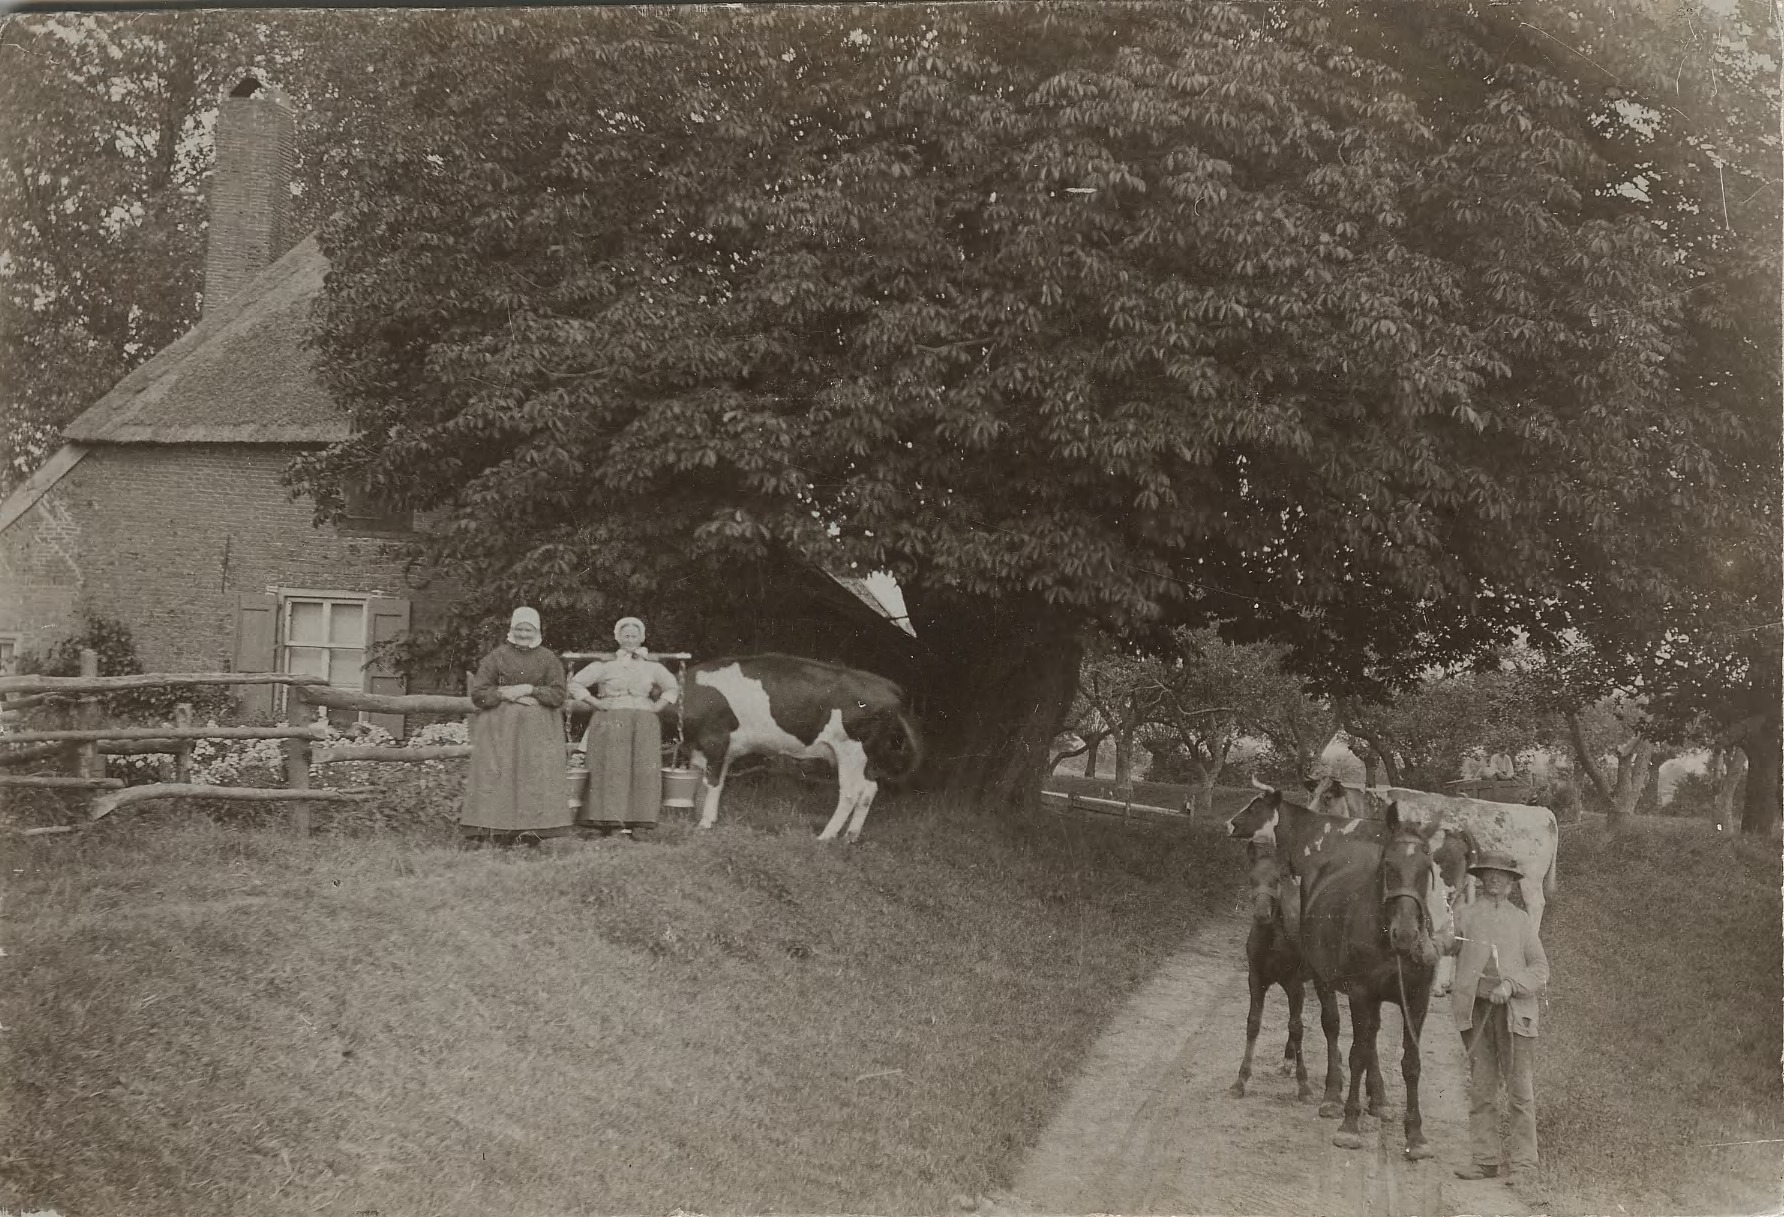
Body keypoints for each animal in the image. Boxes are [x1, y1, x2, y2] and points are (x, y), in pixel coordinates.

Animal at [674, 649, 927, 838]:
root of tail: (889, 687)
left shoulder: (716, 741)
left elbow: (712, 782)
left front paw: (704, 823)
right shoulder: (715, 749)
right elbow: (707, 781)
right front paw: (700, 816)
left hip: (851, 750)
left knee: (850, 793)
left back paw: (826, 836)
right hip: (868, 755)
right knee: (869, 789)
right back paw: (851, 836)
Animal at [1234, 842, 1320, 1099]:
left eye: (1276, 879)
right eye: (1252, 879)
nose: (1262, 915)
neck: (1272, 940)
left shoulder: (1294, 983)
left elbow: (1297, 1026)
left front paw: (1304, 1084)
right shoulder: (1256, 979)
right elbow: (1253, 1023)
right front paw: (1240, 1080)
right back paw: (1287, 1061)